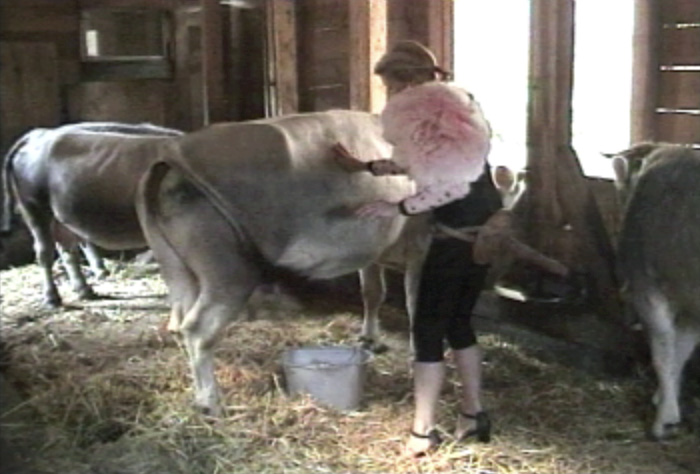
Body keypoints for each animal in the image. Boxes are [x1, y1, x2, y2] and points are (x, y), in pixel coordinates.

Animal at [1, 122, 183, 307]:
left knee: (68, 251)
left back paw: (85, 290)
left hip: (61, 219)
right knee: (45, 252)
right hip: (35, 208)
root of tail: (38, 134)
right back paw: (52, 297)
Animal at [610, 142, 700, 440]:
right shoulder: (689, 306)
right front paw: (665, 398)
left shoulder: (647, 288)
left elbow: (663, 351)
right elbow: (681, 351)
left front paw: (665, 416)